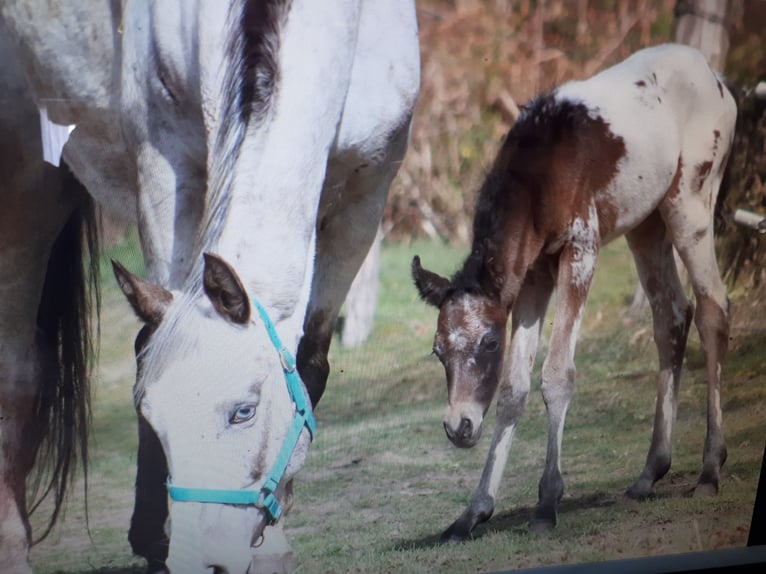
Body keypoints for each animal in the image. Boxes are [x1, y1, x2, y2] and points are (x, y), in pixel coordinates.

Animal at [0, 2, 419, 573]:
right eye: (151, 417)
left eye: (244, 411)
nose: (204, 561)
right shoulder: (166, 169)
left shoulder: (365, 196)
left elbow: (309, 365)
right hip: (25, 182)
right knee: (15, 374)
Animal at [412, 44, 736, 543]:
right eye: (437, 351)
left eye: (489, 343)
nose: (458, 426)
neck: (536, 178)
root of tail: (717, 79)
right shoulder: (531, 274)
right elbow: (514, 387)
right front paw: (472, 513)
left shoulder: (580, 248)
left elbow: (557, 374)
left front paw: (547, 503)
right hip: (646, 221)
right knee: (672, 316)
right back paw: (649, 473)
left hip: (690, 203)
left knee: (713, 310)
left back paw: (709, 470)